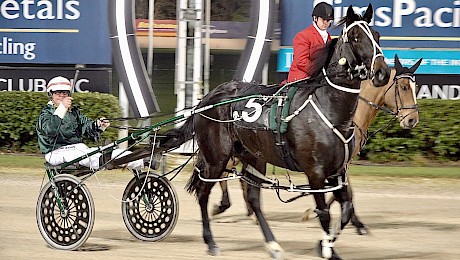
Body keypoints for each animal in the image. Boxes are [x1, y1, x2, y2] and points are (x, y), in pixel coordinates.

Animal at [160, 3, 390, 258]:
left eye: (377, 35)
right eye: (356, 36)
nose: (382, 72)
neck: (328, 108)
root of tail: (209, 97)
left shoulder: (337, 172)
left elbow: (347, 210)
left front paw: (327, 246)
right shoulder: (316, 174)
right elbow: (324, 214)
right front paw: (325, 247)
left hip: (252, 157)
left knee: (253, 199)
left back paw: (272, 244)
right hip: (217, 158)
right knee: (203, 192)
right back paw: (210, 241)